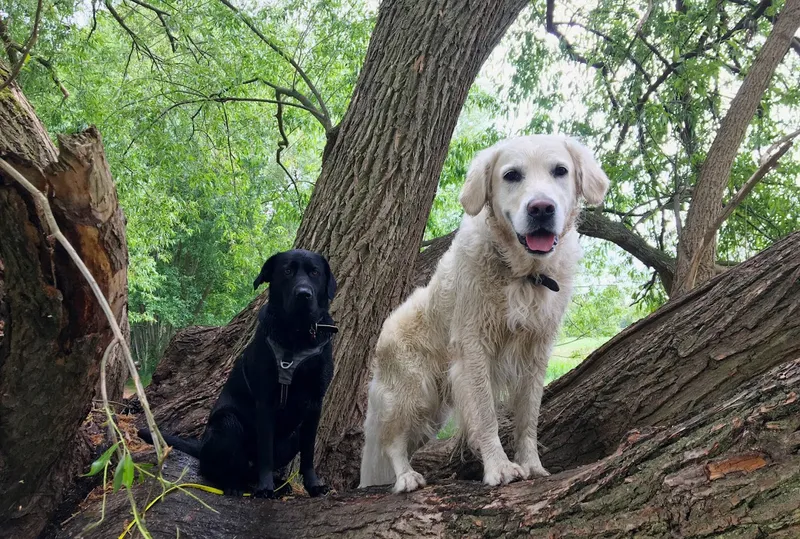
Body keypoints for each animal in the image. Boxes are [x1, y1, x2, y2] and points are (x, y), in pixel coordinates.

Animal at [139, 251, 336, 500]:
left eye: (315, 272)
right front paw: (265, 487)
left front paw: (313, 485)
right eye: (287, 271)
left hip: (292, 436)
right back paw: (234, 485)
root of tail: (201, 446)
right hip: (227, 424)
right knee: (215, 469)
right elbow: (265, 451)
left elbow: (308, 453)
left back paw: (280, 484)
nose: (303, 294)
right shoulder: (265, 402)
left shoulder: (315, 403)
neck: (296, 335)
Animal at [360, 134, 608, 494]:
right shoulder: (474, 349)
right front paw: (499, 467)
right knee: (392, 440)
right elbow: (486, 415)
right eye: (512, 175)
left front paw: (532, 465)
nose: (541, 208)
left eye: (560, 171)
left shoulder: (536, 353)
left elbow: (528, 417)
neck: (523, 274)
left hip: (434, 410)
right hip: (413, 393)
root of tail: (384, 330)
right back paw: (406, 477)